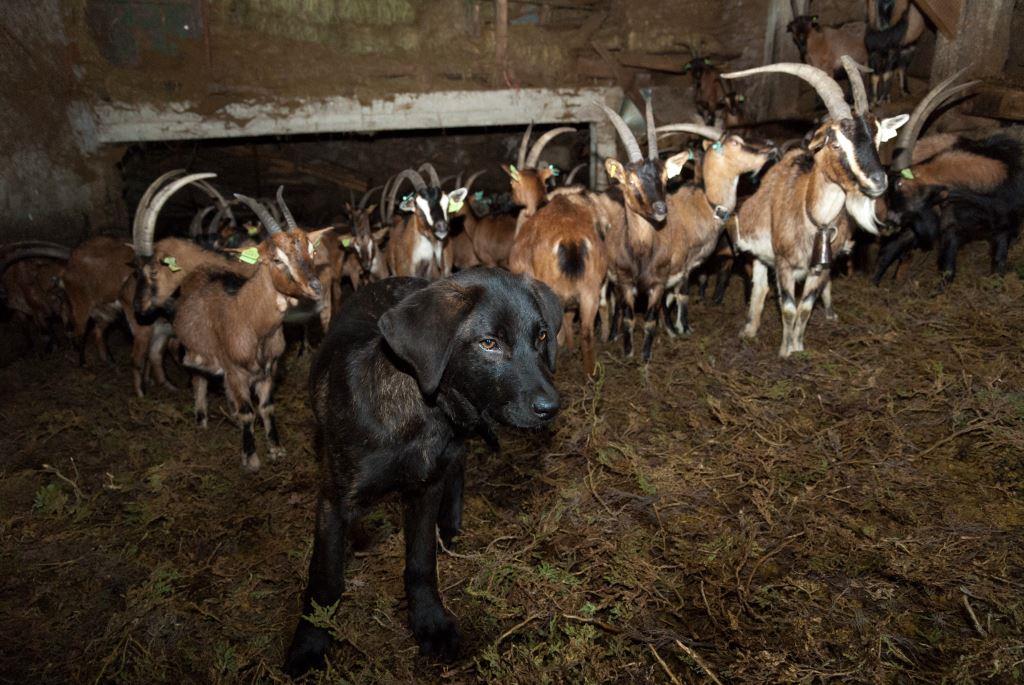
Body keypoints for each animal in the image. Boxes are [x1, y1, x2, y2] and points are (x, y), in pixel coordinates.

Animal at [284, 266, 565, 671]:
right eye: (489, 343)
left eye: (542, 335)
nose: (551, 407)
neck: (424, 412)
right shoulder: (334, 501)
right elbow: (325, 578)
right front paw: (310, 642)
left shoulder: (426, 487)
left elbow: (420, 563)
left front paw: (429, 622)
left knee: (458, 465)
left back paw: (449, 525)